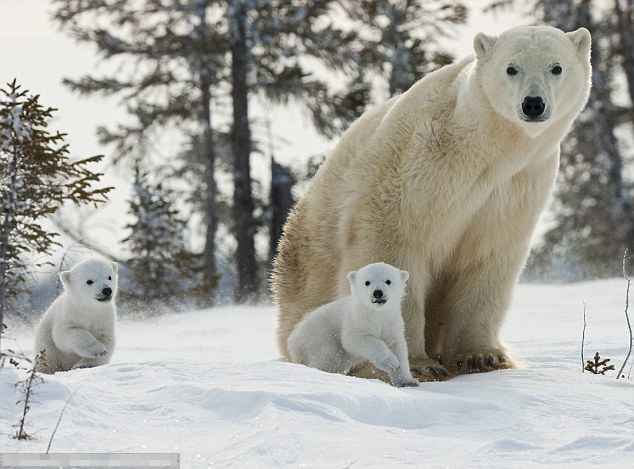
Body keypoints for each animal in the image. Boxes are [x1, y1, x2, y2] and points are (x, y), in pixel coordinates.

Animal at [286, 262, 414, 386]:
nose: (377, 293)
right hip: (320, 339)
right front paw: (391, 363)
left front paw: (407, 381)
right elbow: (355, 339)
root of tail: (293, 340)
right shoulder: (355, 320)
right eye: (367, 282)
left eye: (388, 281)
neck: (376, 313)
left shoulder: (392, 323)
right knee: (327, 358)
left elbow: (398, 347)